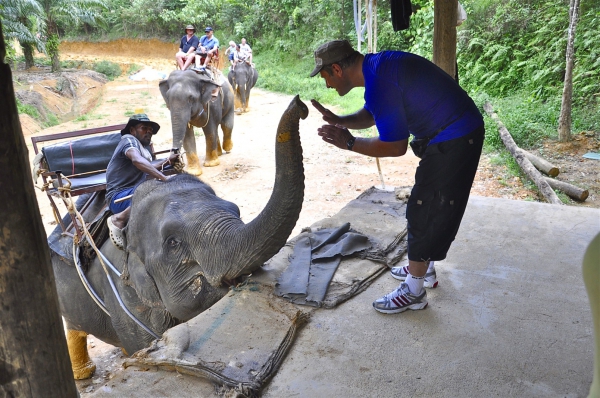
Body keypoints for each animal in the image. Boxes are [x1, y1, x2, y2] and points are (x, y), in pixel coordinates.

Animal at [48, 95, 308, 380]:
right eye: (173, 243)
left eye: (236, 210)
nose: (301, 105)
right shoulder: (121, 294)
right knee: (74, 328)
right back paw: (84, 374)